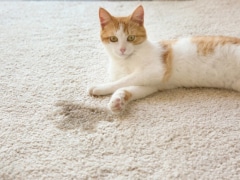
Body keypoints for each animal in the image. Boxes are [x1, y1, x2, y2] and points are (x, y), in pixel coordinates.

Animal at [88, 5, 240, 113]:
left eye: (131, 38)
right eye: (113, 39)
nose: (122, 49)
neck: (124, 62)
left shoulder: (156, 70)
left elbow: (123, 81)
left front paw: (100, 87)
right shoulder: (151, 85)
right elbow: (129, 88)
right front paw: (117, 101)